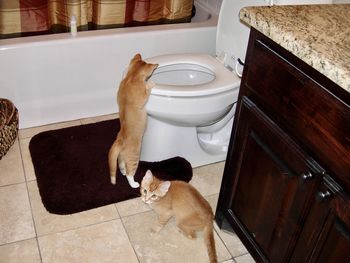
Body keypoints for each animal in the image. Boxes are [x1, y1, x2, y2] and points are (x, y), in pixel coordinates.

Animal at [108, 54, 159, 189]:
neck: (131, 78)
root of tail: (120, 140)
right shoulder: (143, 96)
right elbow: (147, 90)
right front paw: (150, 83)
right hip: (134, 157)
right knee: (129, 173)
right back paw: (134, 184)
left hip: (121, 157)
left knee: (121, 166)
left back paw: (122, 171)